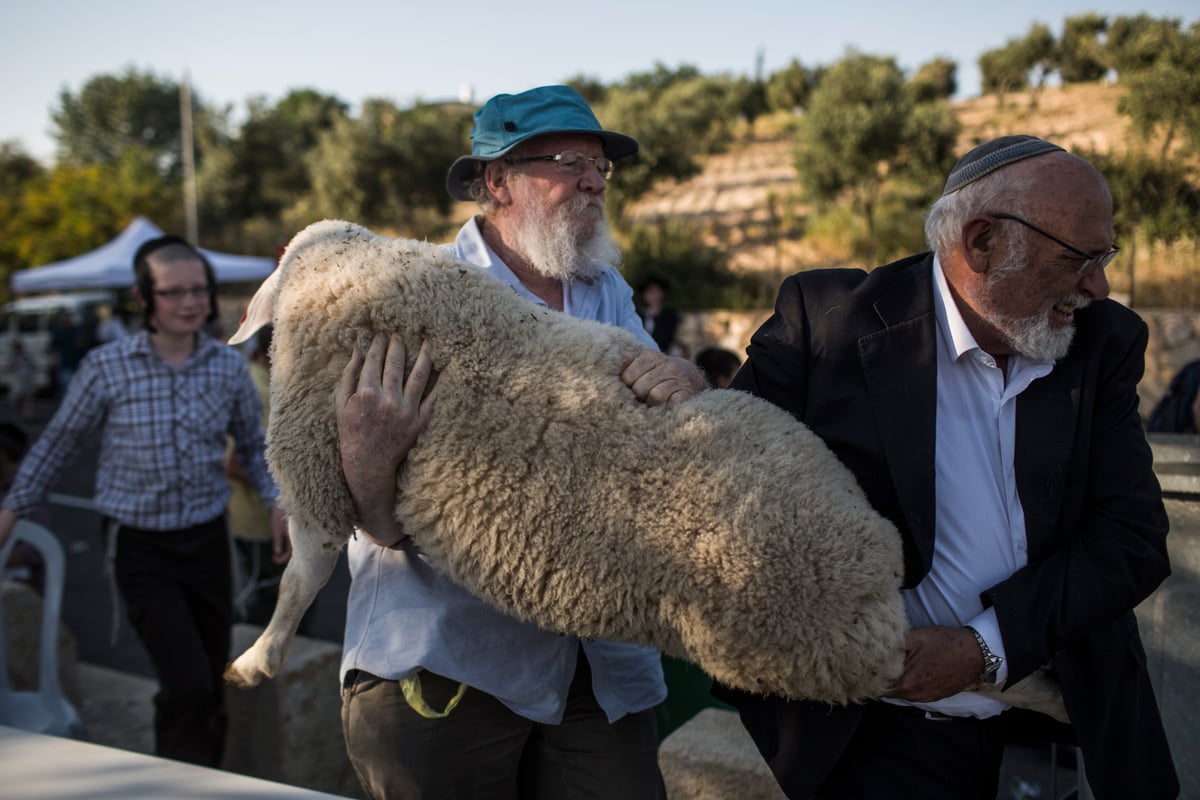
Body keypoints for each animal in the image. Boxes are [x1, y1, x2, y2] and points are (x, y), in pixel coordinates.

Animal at [226, 217, 1070, 719]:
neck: (347, 268)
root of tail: (876, 584)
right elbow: (312, 567)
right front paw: (262, 658)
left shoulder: (311, 459)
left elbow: (303, 573)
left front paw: (257, 661)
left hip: (805, 642)